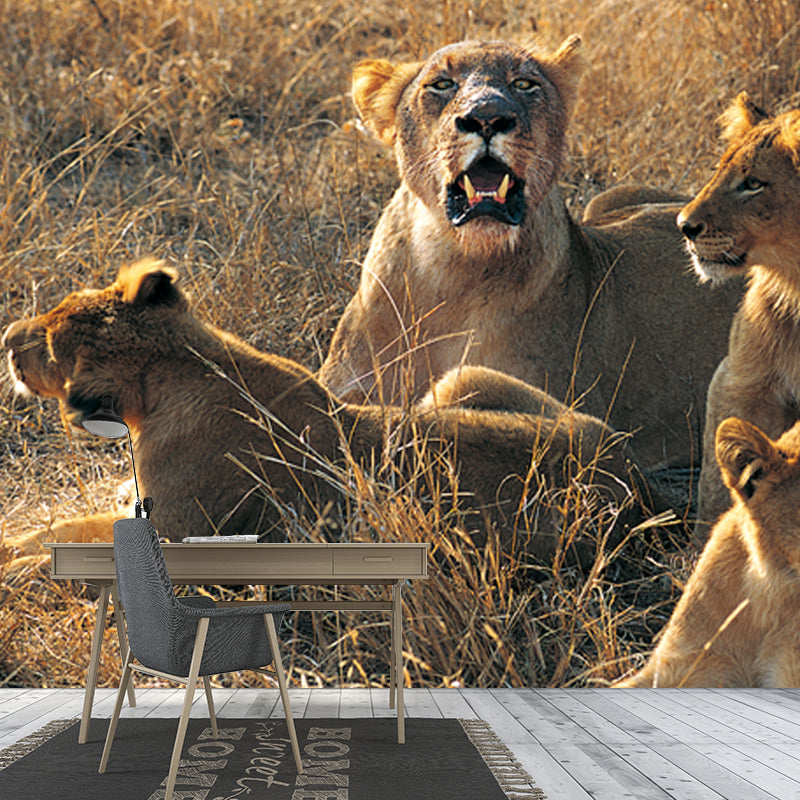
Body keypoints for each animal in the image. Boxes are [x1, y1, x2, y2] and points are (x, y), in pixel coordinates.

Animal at [3, 259, 651, 567]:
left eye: (49, 339)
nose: (8, 337)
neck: (183, 365)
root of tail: (629, 471)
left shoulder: (184, 535)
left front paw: (15, 572)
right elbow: (54, 531)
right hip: (460, 380)